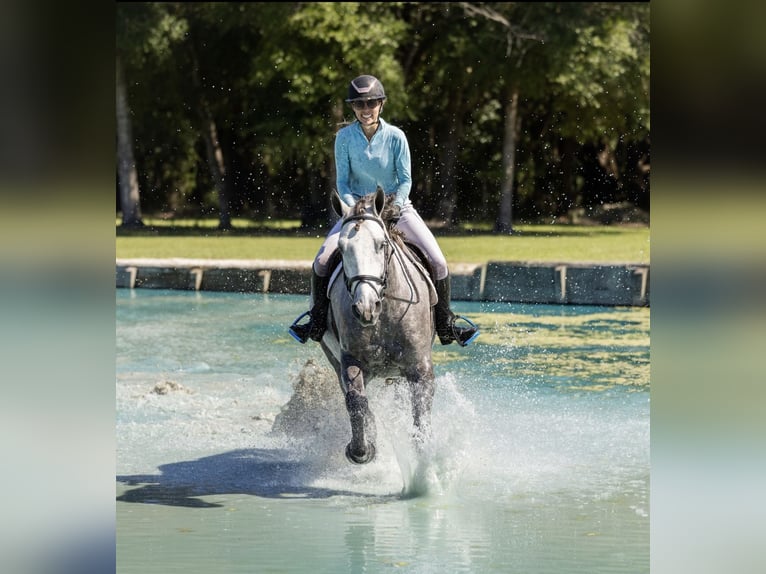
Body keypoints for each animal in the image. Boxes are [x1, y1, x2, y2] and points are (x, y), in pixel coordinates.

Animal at [319, 188, 438, 464]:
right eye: (341, 249)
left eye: (381, 244)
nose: (365, 307)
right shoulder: (350, 360)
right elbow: (356, 402)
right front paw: (361, 450)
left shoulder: (419, 366)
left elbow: (421, 412)